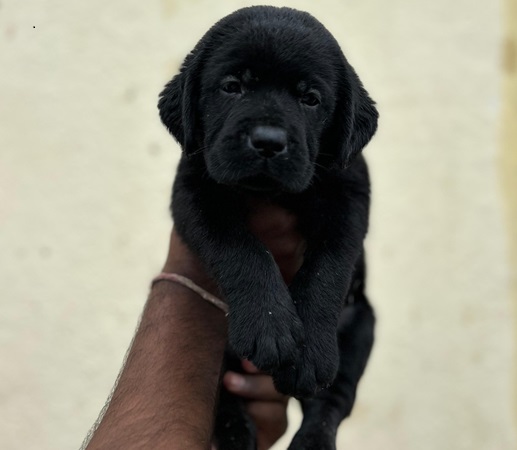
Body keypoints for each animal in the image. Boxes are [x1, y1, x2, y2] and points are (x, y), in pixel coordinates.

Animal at [158, 6, 378, 446]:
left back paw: (312, 442)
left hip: (359, 326)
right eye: (231, 87)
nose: (268, 141)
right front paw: (269, 326)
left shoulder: (350, 196)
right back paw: (235, 434)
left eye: (310, 99)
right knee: (223, 393)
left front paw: (307, 350)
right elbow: (241, 249)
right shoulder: (195, 191)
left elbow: (328, 266)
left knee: (330, 402)